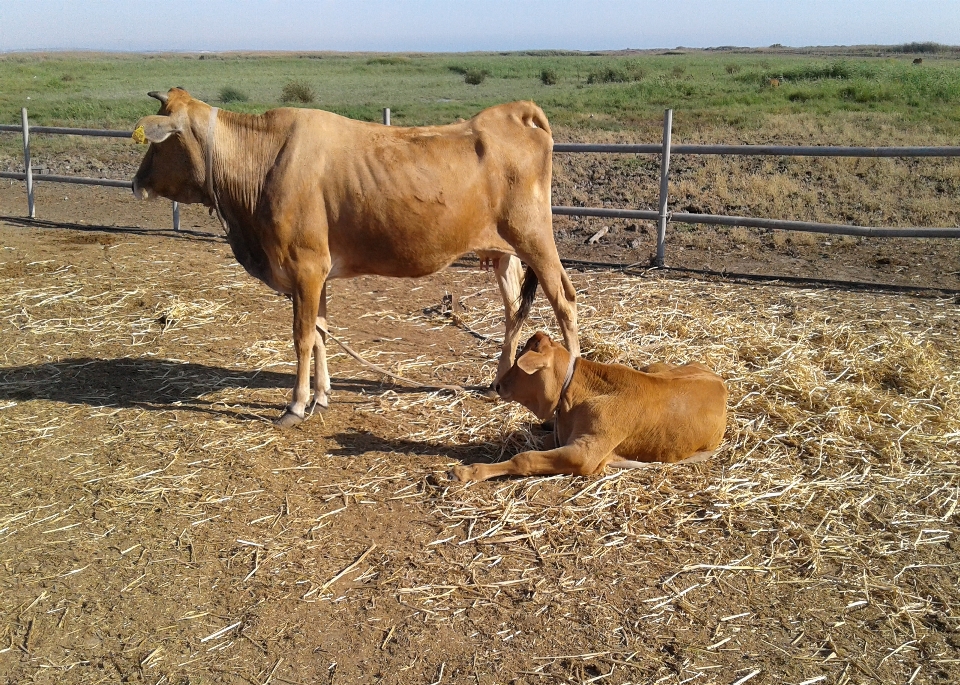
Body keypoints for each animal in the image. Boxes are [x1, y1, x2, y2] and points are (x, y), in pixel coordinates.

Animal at [129, 88, 576, 424]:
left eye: (159, 143)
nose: (135, 183)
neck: (264, 161)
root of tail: (511, 112)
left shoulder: (306, 267)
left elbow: (303, 336)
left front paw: (296, 404)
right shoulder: (316, 272)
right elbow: (321, 332)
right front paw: (322, 395)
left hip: (536, 240)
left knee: (565, 302)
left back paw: (570, 379)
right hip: (504, 253)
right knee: (514, 311)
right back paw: (499, 382)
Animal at [454, 332, 724, 480]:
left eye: (519, 364)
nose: (497, 385)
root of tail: (719, 380)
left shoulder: (586, 452)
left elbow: (525, 458)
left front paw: (467, 472)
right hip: (654, 366)